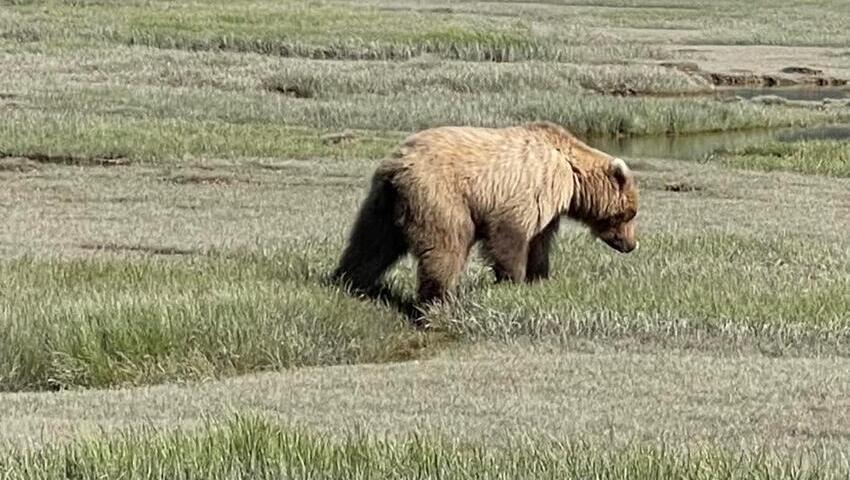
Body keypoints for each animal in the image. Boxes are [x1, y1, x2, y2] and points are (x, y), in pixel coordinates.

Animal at [332, 121, 636, 308]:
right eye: (631, 214)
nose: (631, 244)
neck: (572, 175)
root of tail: (396, 167)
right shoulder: (531, 188)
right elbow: (509, 234)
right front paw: (512, 280)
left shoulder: (549, 208)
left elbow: (540, 241)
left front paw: (539, 277)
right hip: (440, 196)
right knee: (447, 245)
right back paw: (440, 298)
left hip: (381, 203)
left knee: (370, 244)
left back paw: (349, 281)